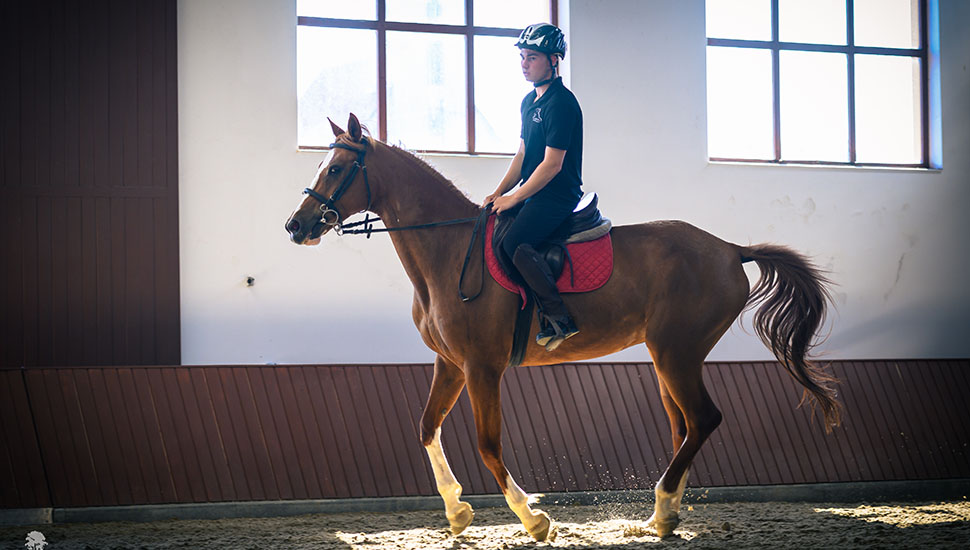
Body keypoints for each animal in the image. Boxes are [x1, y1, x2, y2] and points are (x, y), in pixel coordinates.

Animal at [284, 114, 836, 540]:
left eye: (336, 169)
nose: (296, 225)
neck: (447, 251)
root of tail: (729, 249)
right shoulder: (451, 364)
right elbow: (425, 428)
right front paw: (457, 510)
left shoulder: (483, 368)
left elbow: (488, 445)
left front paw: (533, 519)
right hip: (668, 359)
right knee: (684, 426)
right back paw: (666, 514)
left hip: (676, 354)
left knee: (703, 419)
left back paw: (661, 508)